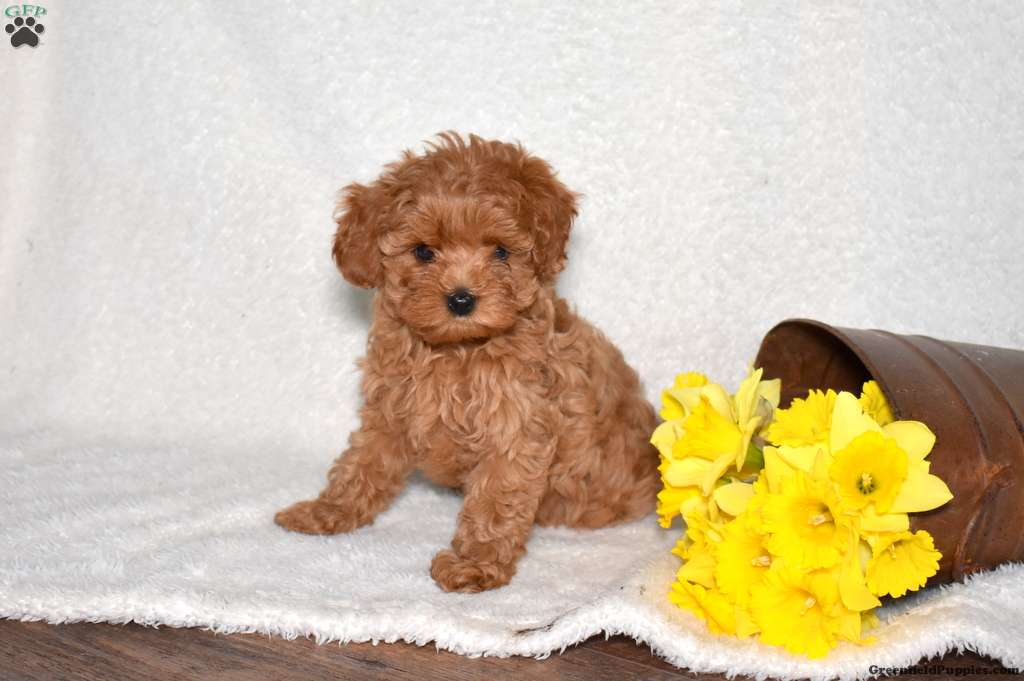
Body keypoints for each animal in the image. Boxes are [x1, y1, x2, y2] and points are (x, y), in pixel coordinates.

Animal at [275, 133, 659, 592]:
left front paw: (474, 565)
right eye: (423, 252)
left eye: (501, 252)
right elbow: (362, 462)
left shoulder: (517, 427)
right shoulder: (391, 406)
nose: (461, 299)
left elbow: (496, 499)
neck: (455, 350)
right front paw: (327, 511)